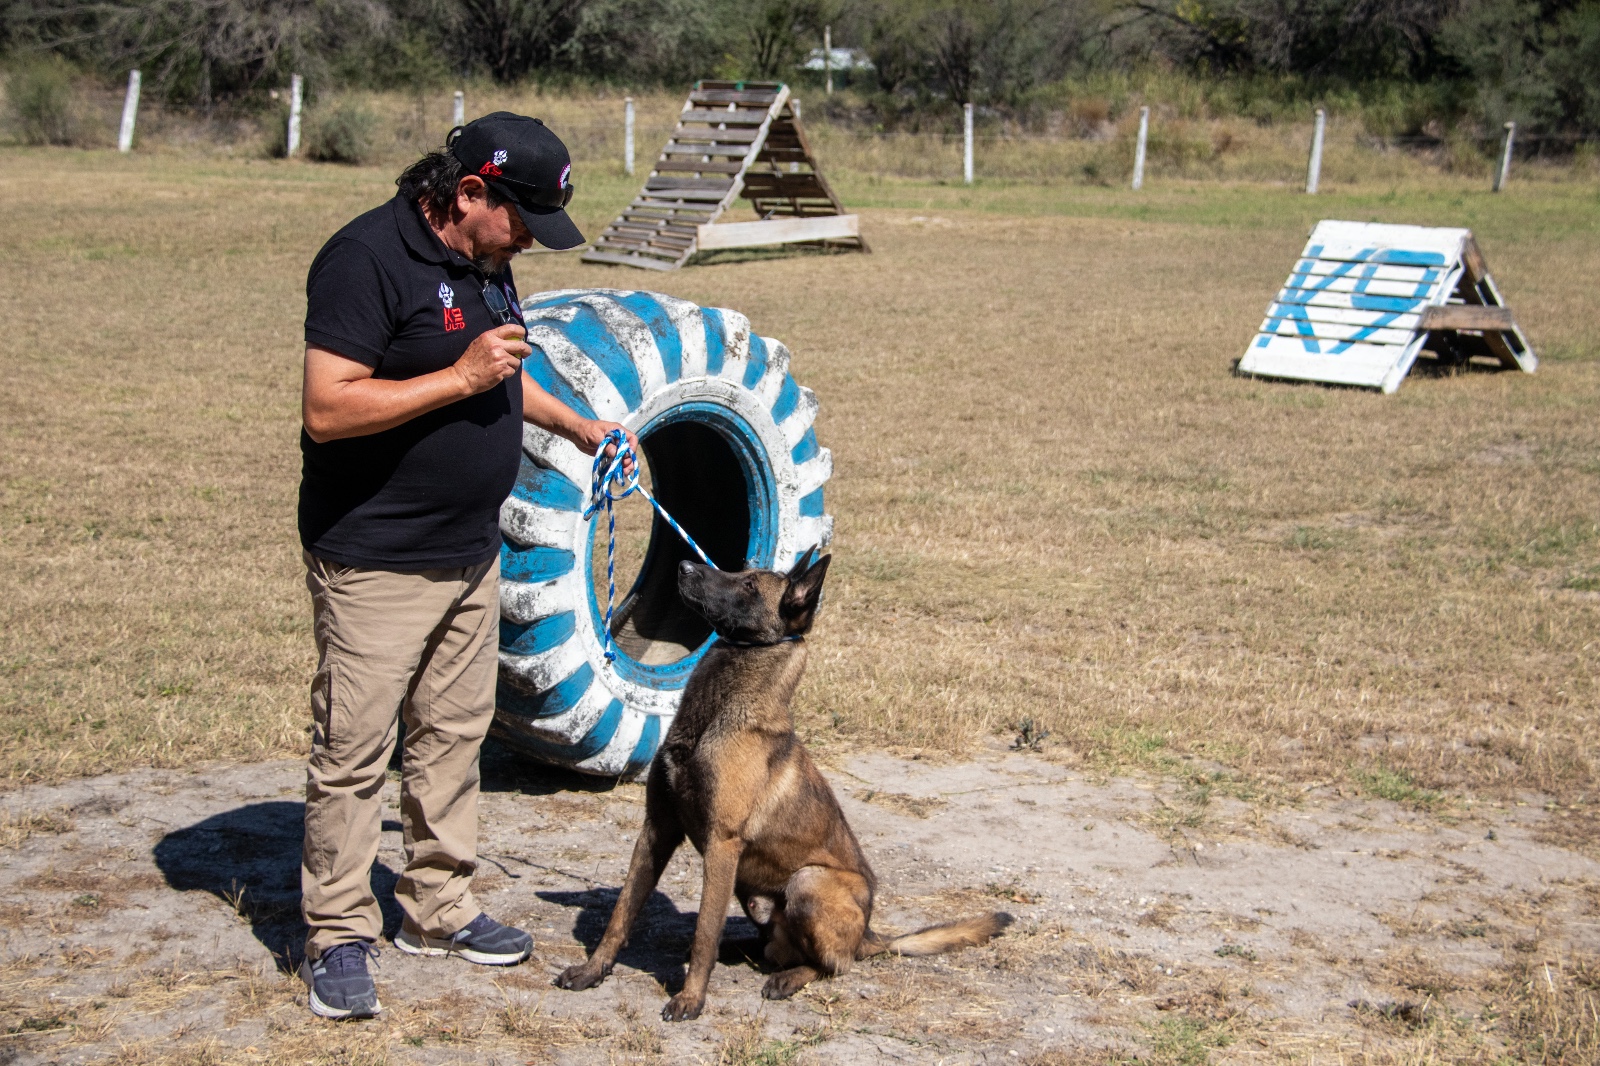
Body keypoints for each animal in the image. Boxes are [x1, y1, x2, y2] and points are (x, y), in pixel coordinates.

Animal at [556, 550, 1004, 1017]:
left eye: (750, 586)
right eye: (738, 571)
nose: (683, 565)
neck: (716, 717)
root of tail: (868, 936)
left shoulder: (722, 844)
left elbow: (703, 933)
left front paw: (691, 997)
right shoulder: (656, 831)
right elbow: (622, 913)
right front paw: (593, 970)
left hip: (809, 882)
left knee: (832, 964)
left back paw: (788, 976)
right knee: (770, 947)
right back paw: (739, 950)